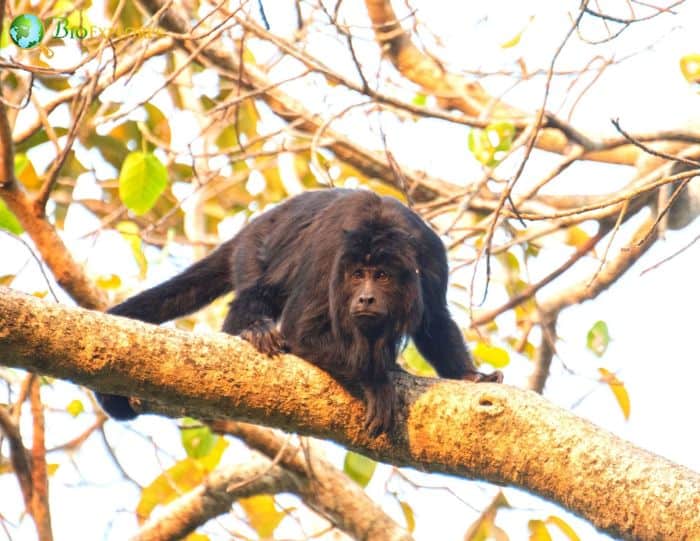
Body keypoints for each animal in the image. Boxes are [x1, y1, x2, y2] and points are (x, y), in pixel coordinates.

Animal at [98, 188, 504, 432]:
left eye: (382, 276)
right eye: (358, 275)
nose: (365, 298)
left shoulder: (430, 257)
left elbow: (435, 321)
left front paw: (470, 376)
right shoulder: (329, 257)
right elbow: (300, 330)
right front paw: (376, 380)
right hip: (252, 250)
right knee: (258, 288)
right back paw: (252, 327)